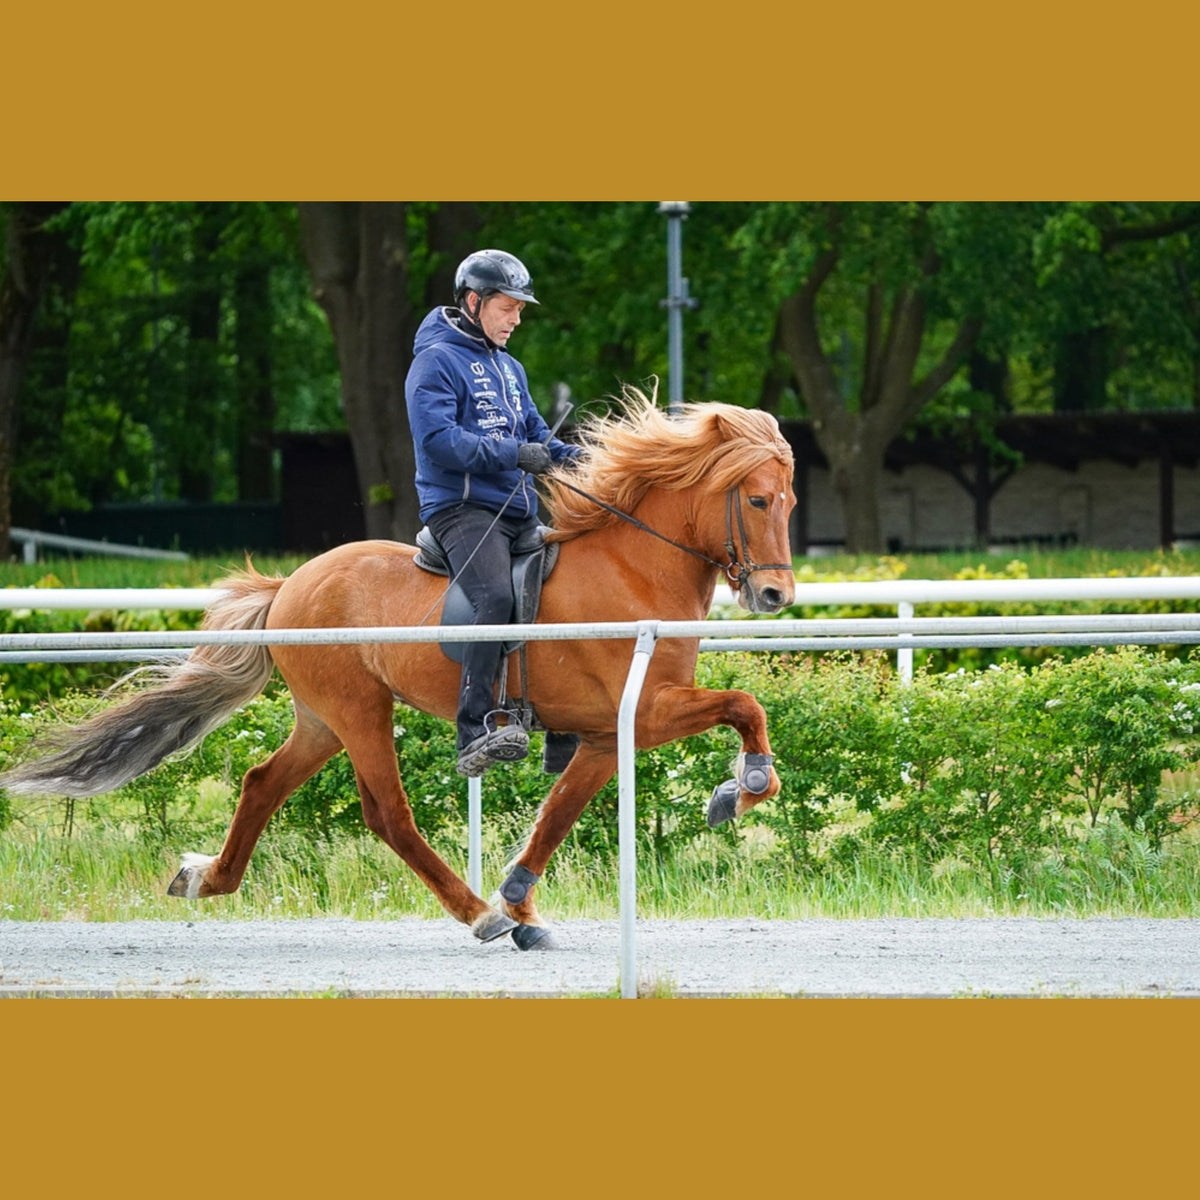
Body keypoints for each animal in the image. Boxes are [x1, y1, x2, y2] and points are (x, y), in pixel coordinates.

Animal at [0, 388, 796, 950]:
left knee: (262, 783)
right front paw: (745, 786)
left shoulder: (606, 733)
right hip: (359, 709)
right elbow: (745, 704)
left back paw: (206, 878)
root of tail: (291, 583)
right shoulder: (652, 707)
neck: (634, 566)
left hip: (323, 718)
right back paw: (476, 915)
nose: (776, 596)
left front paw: (521, 898)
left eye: (787, 501)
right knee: (388, 814)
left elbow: (555, 816)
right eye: (757, 499)